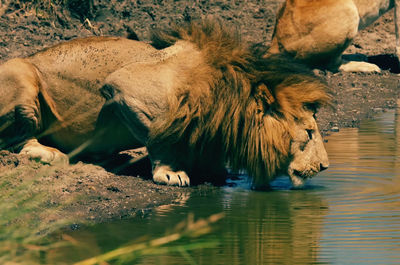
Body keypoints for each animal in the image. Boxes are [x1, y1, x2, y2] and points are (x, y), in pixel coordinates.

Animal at [0, 21, 330, 189]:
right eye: (309, 132)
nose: (325, 167)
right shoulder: (124, 86)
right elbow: (162, 137)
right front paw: (170, 173)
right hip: (20, 72)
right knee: (16, 141)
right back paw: (49, 153)